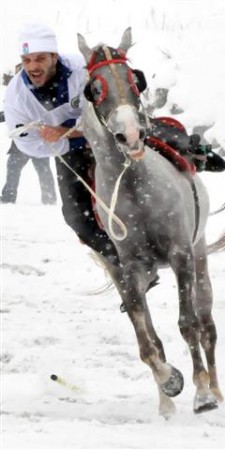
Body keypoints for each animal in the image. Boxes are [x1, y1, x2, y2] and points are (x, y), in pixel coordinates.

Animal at [77, 27, 223, 414]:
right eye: (95, 87)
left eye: (135, 79)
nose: (130, 133)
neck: (134, 184)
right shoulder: (131, 267)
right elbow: (146, 339)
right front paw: (169, 381)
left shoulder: (181, 254)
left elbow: (188, 324)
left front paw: (202, 394)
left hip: (199, 257)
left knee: (207, 325)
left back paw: (215, 390)